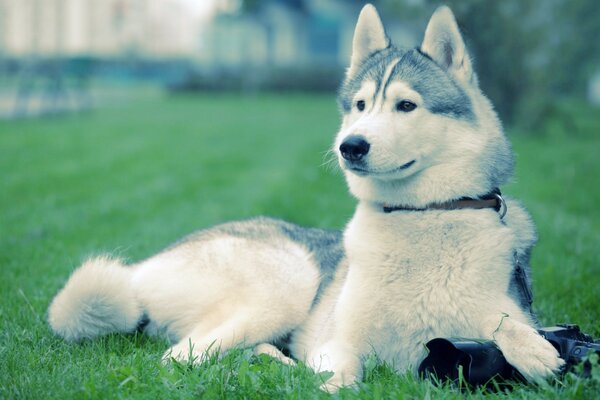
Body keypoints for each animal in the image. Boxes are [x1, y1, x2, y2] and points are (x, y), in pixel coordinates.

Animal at [49, 3, 564, 390]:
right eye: (360, 105)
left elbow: (504, 319)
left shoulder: (502, 304)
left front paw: (532, 348)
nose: (350, 145)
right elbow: (343, 381)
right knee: (179, 358)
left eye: (406, 105)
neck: (420, 217)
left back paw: (268, 361)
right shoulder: (338, 344)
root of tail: (142, 269)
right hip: (288, 282)